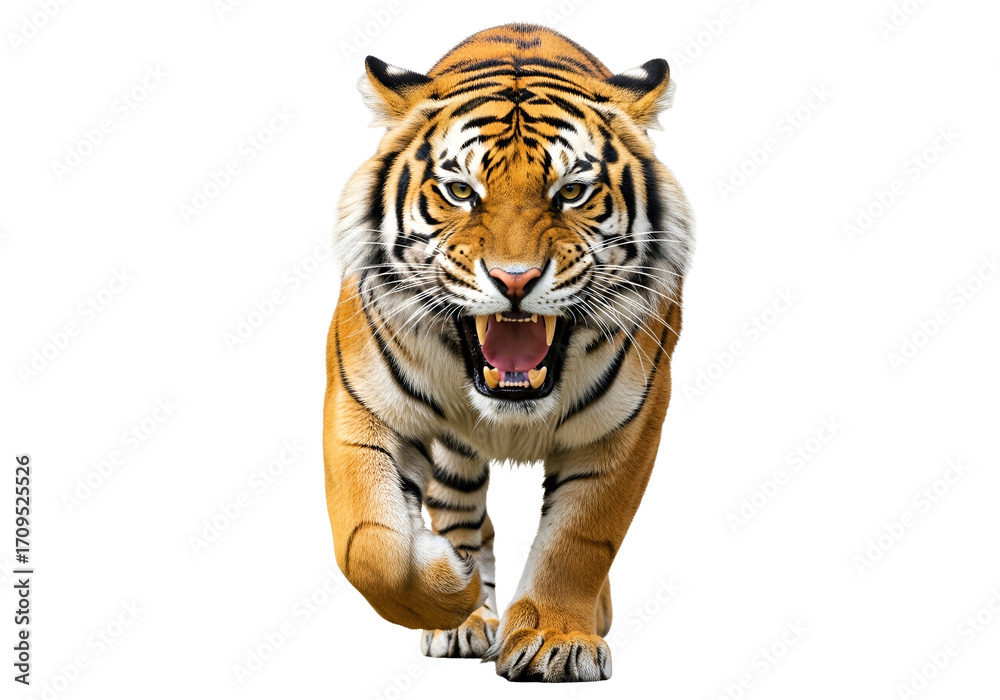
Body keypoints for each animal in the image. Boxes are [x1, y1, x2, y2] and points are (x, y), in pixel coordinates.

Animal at [323, 23, 693, 682]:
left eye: (572, 191)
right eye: (459, 192)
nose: (513, 279)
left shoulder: (628, 426)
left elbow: (580, 540)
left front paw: (554, 640)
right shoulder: (360, 404)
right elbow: (371, 547)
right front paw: (453, 586)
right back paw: (467, 618)